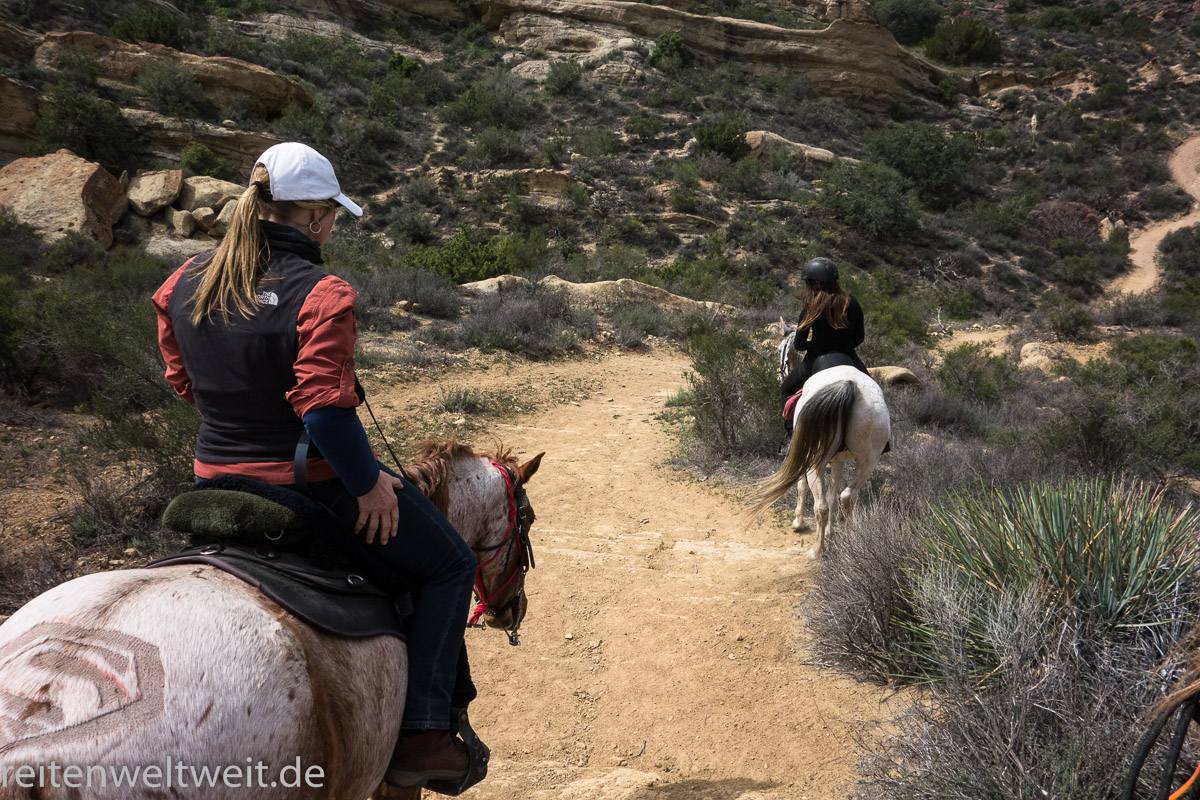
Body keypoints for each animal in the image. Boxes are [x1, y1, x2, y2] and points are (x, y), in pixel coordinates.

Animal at [748, 321, 892, 561]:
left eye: (780, 351)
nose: (780, 374)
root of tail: (848, 384)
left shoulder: (804, 452)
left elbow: (801, 486)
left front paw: (798, 522)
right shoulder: (839, 460)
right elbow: (833, 495)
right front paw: (831, 534)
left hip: (815, 461)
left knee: (821, 505)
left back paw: (816, 550)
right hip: (868, 459)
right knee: (847, 496)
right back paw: (849, 540)